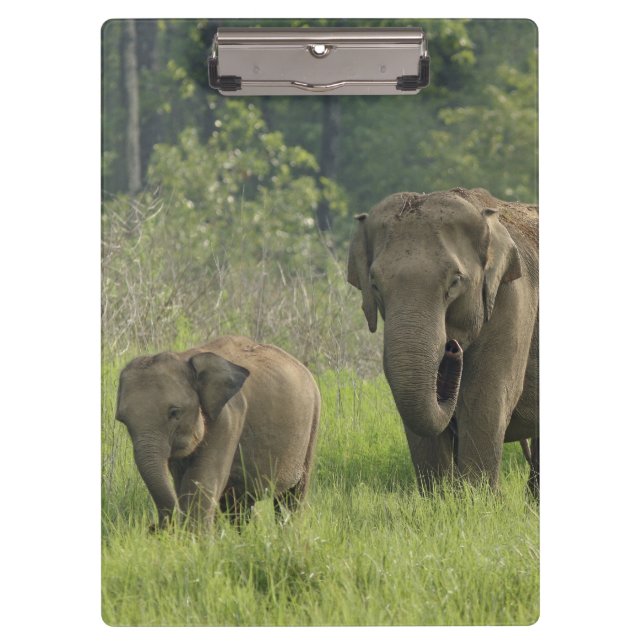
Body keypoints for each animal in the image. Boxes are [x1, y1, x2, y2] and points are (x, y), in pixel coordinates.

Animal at [115, 335, 321, 528]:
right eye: (123, 421)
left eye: (174, 412)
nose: (153, 527)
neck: (185, 358)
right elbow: (183, 483)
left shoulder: (228, 418)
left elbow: (202, 481)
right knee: (240, 503)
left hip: (311, 426)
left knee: (292, 497)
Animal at [348, 187, 538, 495]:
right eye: (374, 284)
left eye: (455, 282)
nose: (452, 348)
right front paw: (439, 499)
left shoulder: (514, 300)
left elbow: (485, 399)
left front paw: (477, 499)